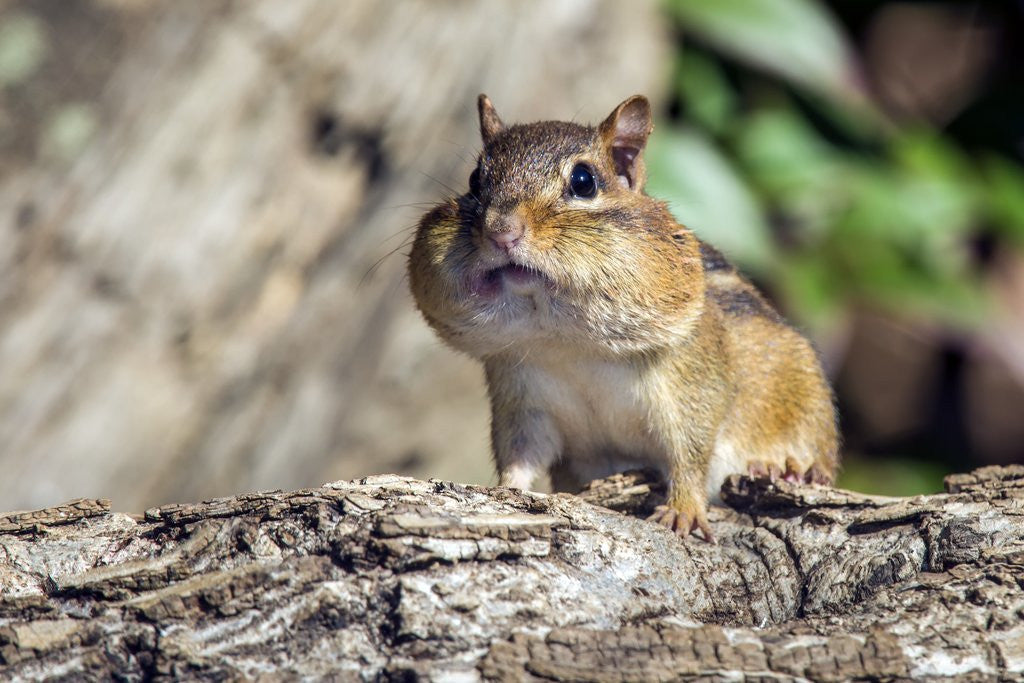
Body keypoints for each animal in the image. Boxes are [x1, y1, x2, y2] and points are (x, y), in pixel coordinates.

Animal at [408, 94, 838, 540]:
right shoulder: (521, 399)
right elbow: (520, 456)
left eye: (583, 181)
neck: (567, 343)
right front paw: (503, 491)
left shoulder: (690, 385)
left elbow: (690, 452)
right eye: (475, 179)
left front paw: (684, 509)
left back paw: (791, 468)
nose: (500, 231)